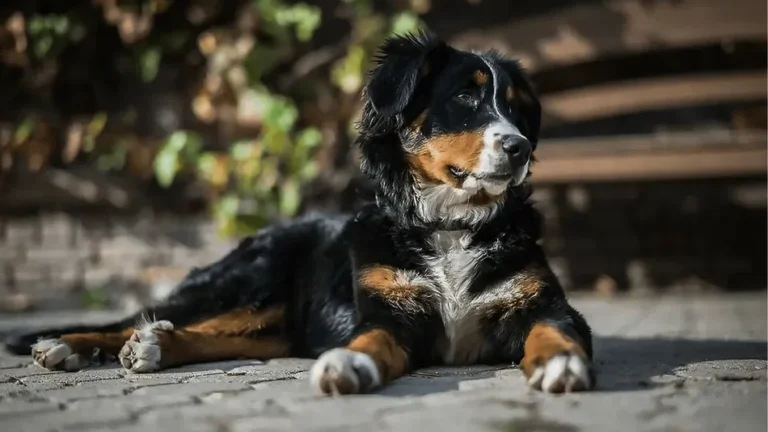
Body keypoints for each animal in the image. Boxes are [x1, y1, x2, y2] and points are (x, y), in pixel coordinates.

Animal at [4, 31, 592, 394]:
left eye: (515, 106)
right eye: (466, 99)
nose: (518, 147)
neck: (449, 227)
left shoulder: (544, 305)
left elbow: (554, 330)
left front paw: (559, 362)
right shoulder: (390, 314)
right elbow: (369, 339)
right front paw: (350, 364)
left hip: (274, 319)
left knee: (214, 335)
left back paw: (155, 346)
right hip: (248, 280)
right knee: (141, 317)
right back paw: (67, 346)